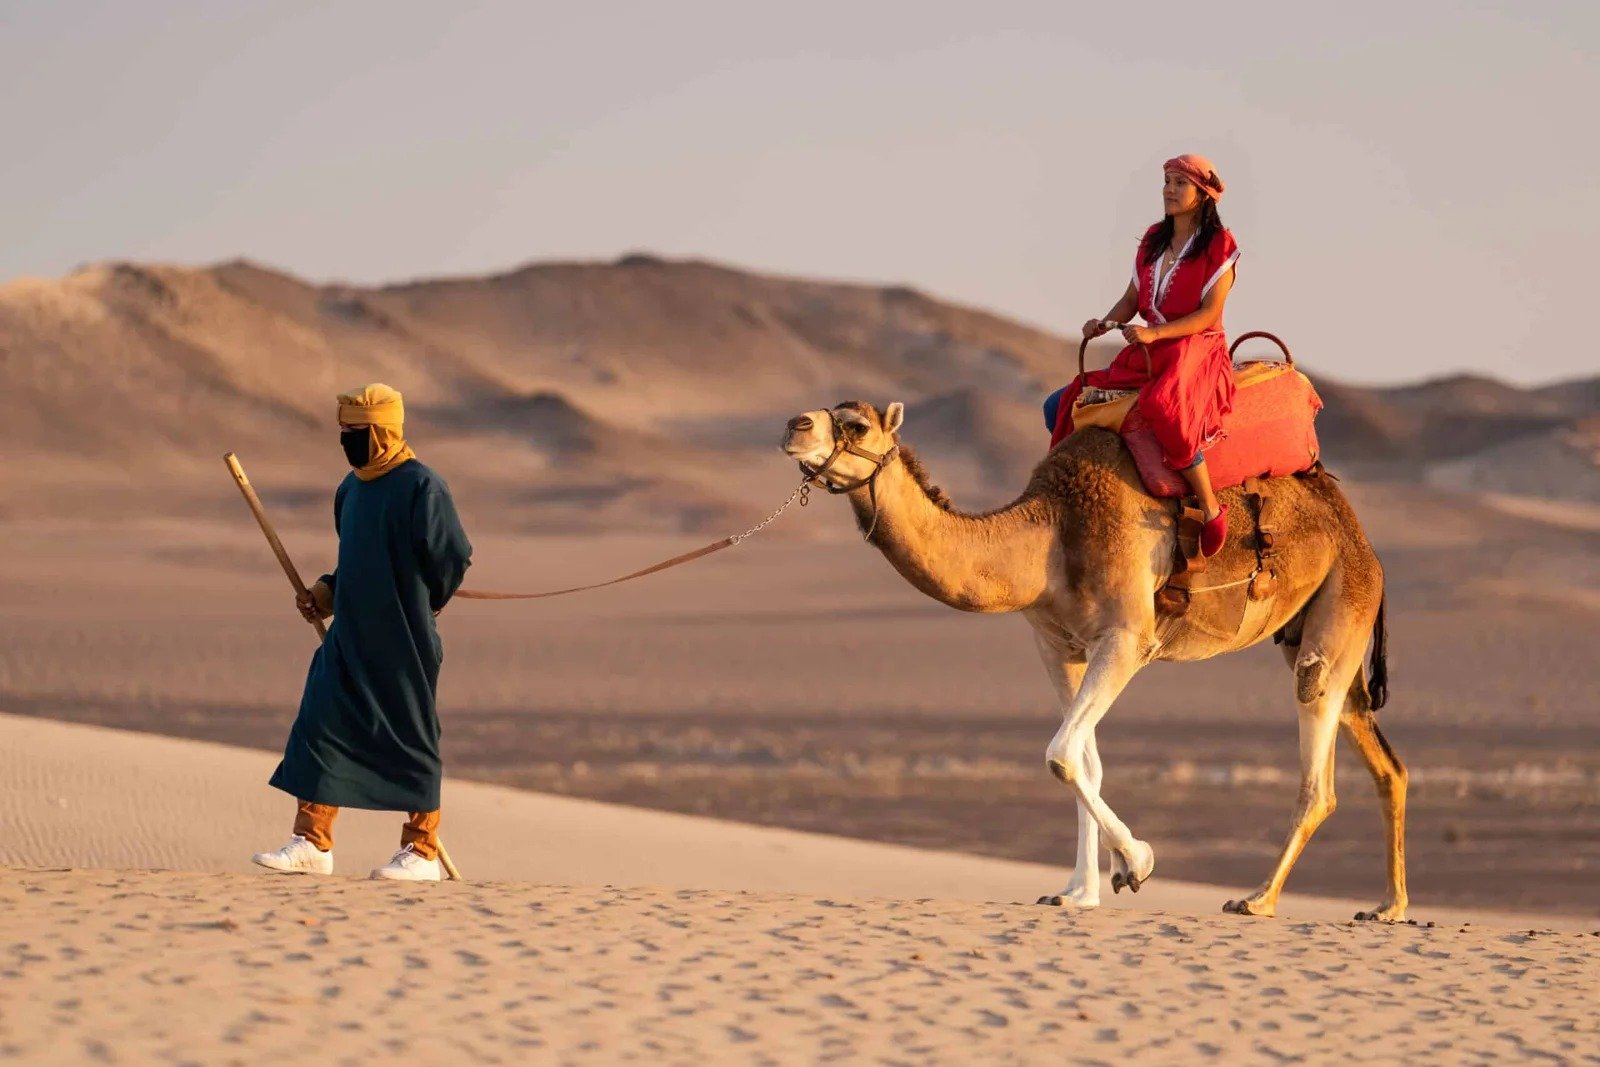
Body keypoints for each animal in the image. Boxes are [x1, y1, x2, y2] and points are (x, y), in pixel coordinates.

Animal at [782, 400, 1407, 920]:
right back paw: (1388, 907)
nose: (795, 426)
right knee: (1384, 761)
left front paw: (1138, 862)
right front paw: (1078, 891)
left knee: (1318, 764)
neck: (1051, 535)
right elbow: (1085, 761)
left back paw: (1258, 899)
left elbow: (1061, 755)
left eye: (856, 425)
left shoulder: (1127, 638)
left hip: (1341, 604)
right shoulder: (1059, 647)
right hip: (1312, 630)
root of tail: (1363, 543)